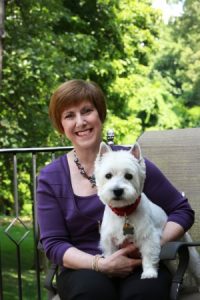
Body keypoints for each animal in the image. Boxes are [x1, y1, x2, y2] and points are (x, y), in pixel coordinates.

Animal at [94, 142, 200, 282]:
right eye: (108, 176)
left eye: (129, 176)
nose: (117, 190)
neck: (124, 212)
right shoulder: (109, 239)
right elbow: (111, 255)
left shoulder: (148, 236)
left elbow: (149, 255)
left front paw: (149, 273)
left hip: (187, 248)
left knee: (195, 265)